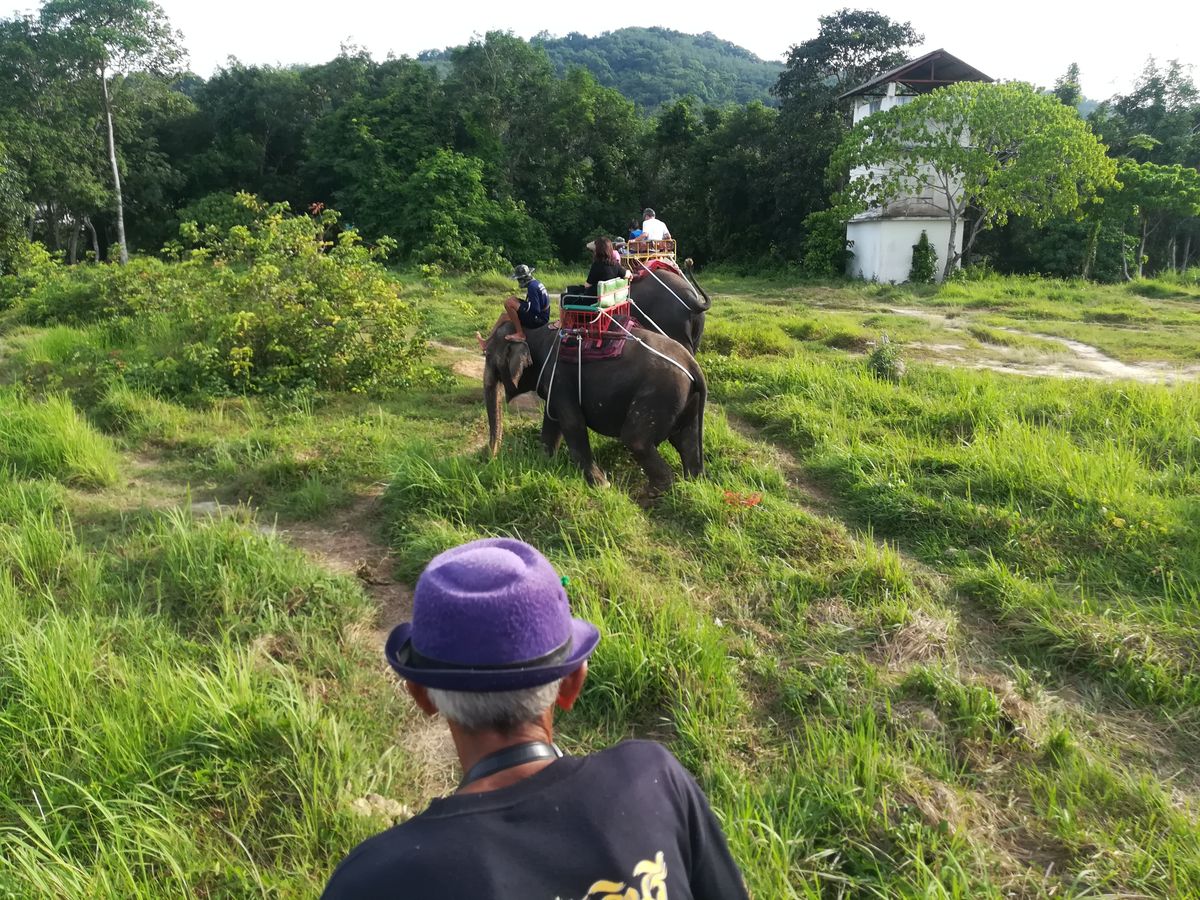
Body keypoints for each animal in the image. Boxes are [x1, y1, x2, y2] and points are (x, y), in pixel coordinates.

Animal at [483, 321, 706, 495]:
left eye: (488, 356)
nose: (490, 460)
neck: (533, 331)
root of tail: (692, 363)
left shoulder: (559, 378)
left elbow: (572, 423)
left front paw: (602, 486)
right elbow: (552, 423)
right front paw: (542, 465)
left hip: (660, 392)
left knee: (636, 439)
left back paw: (652, 492)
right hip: (685, 399)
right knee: (687, 440)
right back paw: (691, 483)